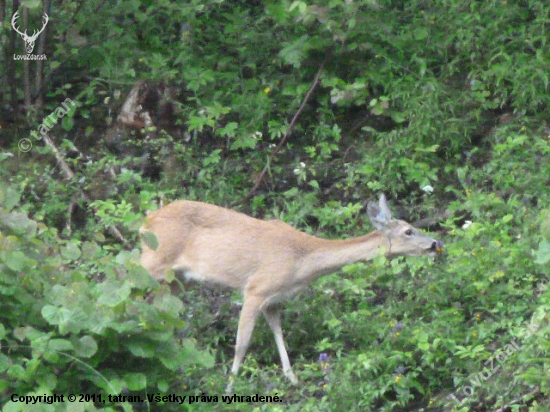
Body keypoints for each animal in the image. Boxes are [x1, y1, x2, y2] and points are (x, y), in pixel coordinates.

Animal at [141, 195, 444, 392]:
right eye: (408, 231)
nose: (434, 243)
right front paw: (229, 388)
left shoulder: (273, 300)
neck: (302, 261)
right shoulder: (255, 289)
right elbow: (241, 343)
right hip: (153, 262)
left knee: (161, 310)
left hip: (178, 280)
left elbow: (279, 334)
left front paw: (293, 379)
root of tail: (147, 221)